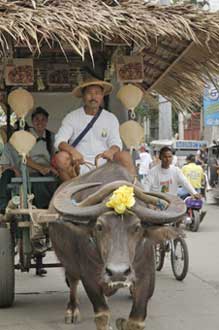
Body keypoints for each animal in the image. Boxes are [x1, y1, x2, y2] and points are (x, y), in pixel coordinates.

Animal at [48, 162, 185, 330]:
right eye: (99, 227)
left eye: (137, 227)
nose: (117, 272)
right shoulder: (89, 275)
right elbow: (102, 314)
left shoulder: (145, 273)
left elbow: (136, 320)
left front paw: (122, 322)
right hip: (69, 263)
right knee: (73, 281)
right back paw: (72, 310)